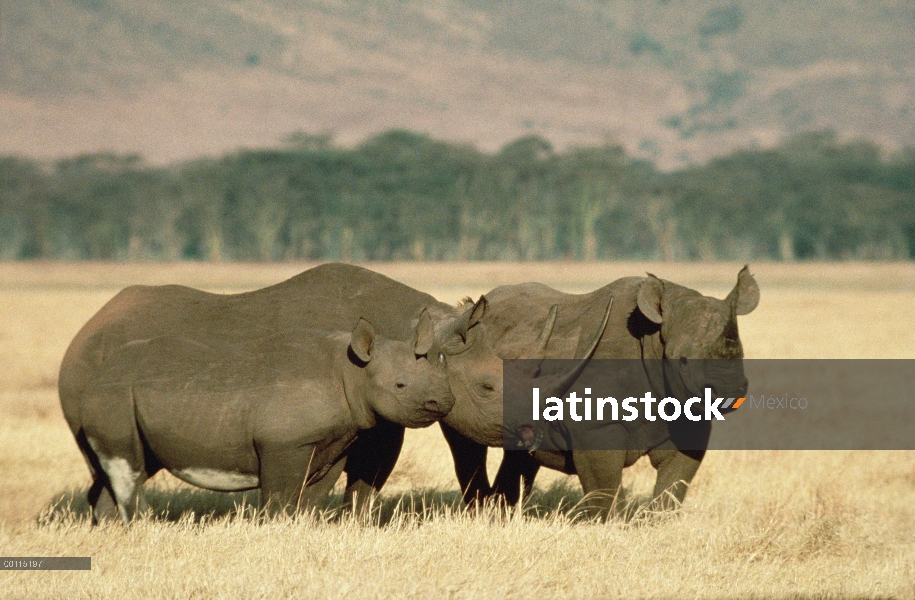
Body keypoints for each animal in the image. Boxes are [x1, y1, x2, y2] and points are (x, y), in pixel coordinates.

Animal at [66, 312, 452, 524]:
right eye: (400, 385)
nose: (444, 400)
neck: (352, 372)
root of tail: (96, 376)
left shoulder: (332, 442)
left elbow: (312, 496)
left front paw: (305, 527)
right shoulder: (285, 444)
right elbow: (280, 499)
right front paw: (277, 530)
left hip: (128, 394)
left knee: (130, 464)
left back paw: (116, 532)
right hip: (113, 397)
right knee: (127, 466)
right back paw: (145, 527)